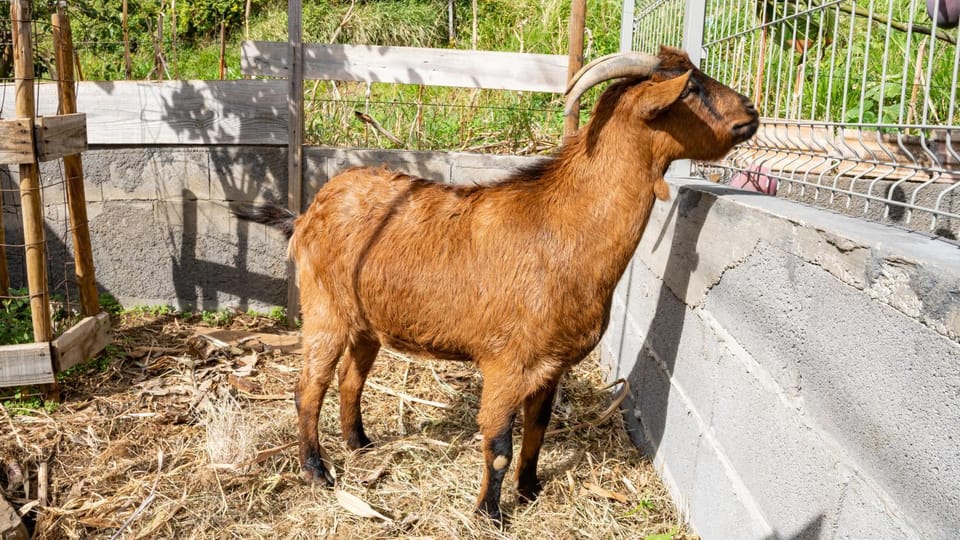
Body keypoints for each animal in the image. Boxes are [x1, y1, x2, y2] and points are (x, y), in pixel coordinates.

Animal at [234, 45, 758, 523]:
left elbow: (538, 431)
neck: (562, 226)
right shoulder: (508, 363)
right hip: (325, 309)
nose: (752, 111)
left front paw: (530, 490)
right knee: (309, 386)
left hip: (367, 322)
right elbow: (499, 443)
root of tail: (308, 213)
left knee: (350, 379)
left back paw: (359, 444)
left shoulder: (552, 365)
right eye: (691, 88)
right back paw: (317, 470)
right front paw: (490, 513)